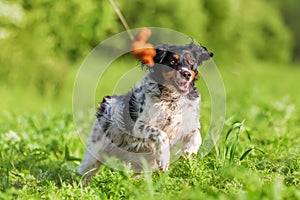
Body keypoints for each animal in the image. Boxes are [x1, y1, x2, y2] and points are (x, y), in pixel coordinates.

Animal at [78, 41, 212, 183]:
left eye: (191, 61)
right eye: (171, 61)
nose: (186, 74)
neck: (172, 100)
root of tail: (106, 103)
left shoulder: (187, 125)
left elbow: (197, 136)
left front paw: (189, 152)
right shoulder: (139, 126)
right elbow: (161, 134)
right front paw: (164, 160)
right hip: (94, 156)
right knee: (84, 174)